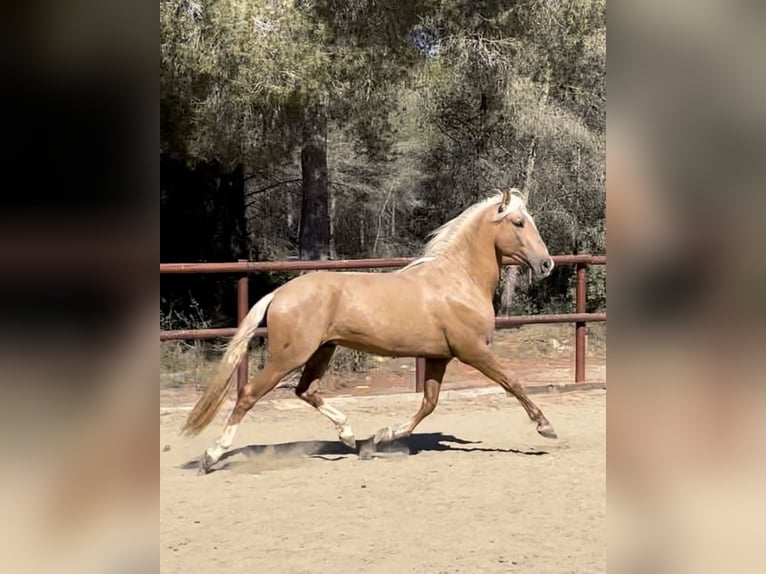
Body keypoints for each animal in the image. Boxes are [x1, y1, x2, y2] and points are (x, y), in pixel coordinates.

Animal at [186, 189, 560, 472]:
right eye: (518, 222)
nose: (546, 264)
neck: (458, 280)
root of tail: (279, 293)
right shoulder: (473, 350)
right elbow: (512, 382)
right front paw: (546, 427)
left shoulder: (438, 357)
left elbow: (429, 403)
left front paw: (382, 437)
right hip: (289, 357)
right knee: (249, 394)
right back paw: (212, 456)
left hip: (322, 350)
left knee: (306, 390)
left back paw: (349, 436)